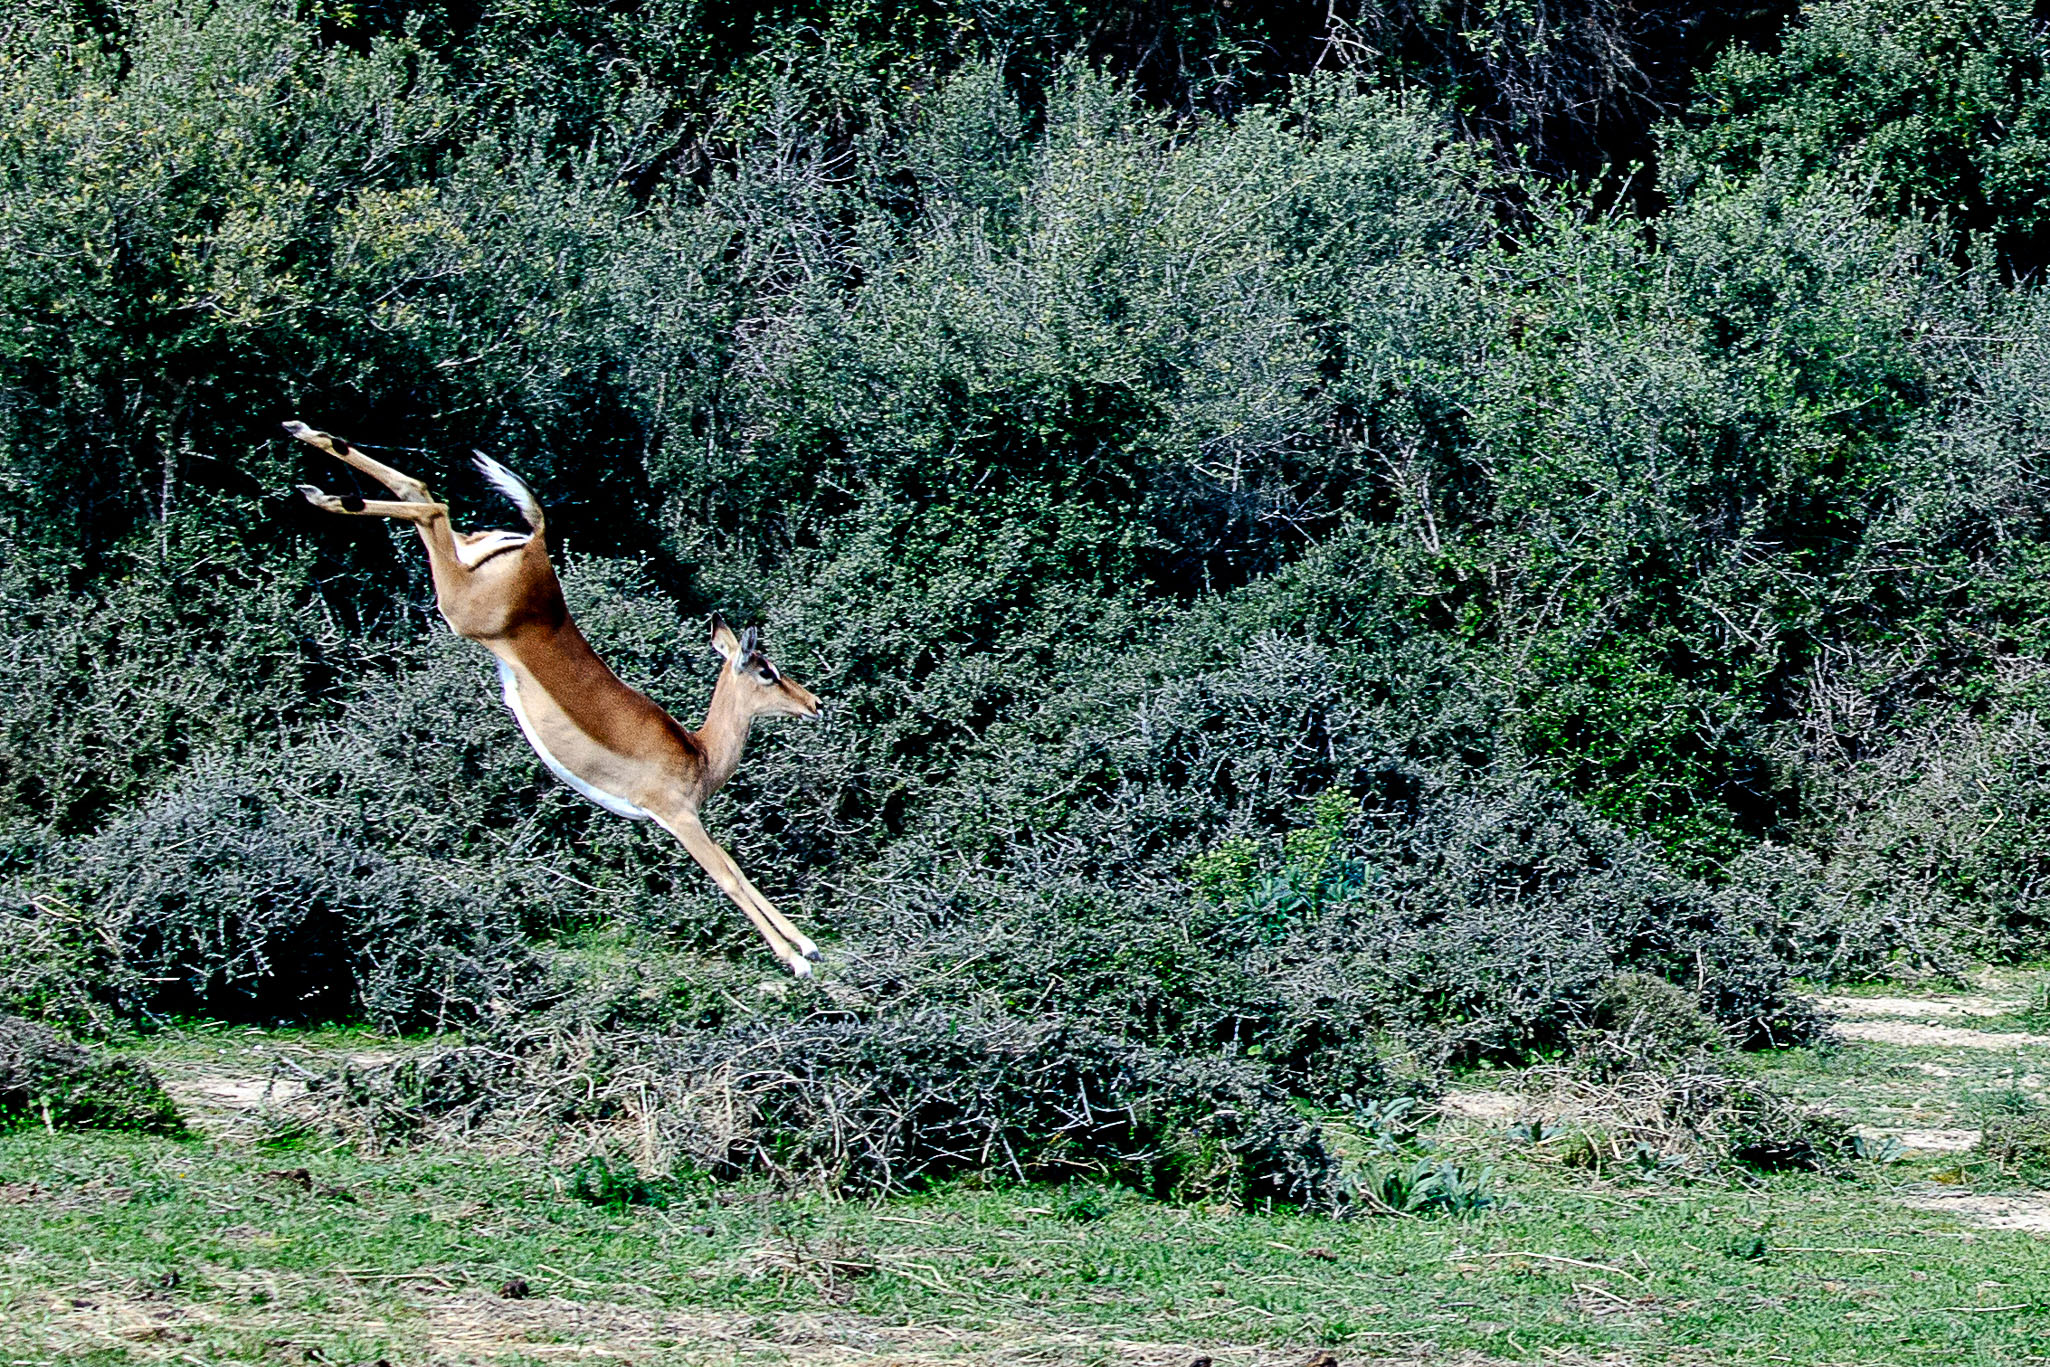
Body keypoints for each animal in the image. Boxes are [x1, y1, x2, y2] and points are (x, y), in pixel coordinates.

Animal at [284, 420, 825, 977]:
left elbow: (737, 869)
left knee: (421, 489)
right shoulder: (677, 816)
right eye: (766, 670)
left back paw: (312, 465)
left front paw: (808, 946)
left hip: (460, 567)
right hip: (458, 608)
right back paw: (323, 487)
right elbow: (731, 876)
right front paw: (797, 959)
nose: (815, 704)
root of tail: (536, 544)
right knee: (434, 504)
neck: (699, 752)